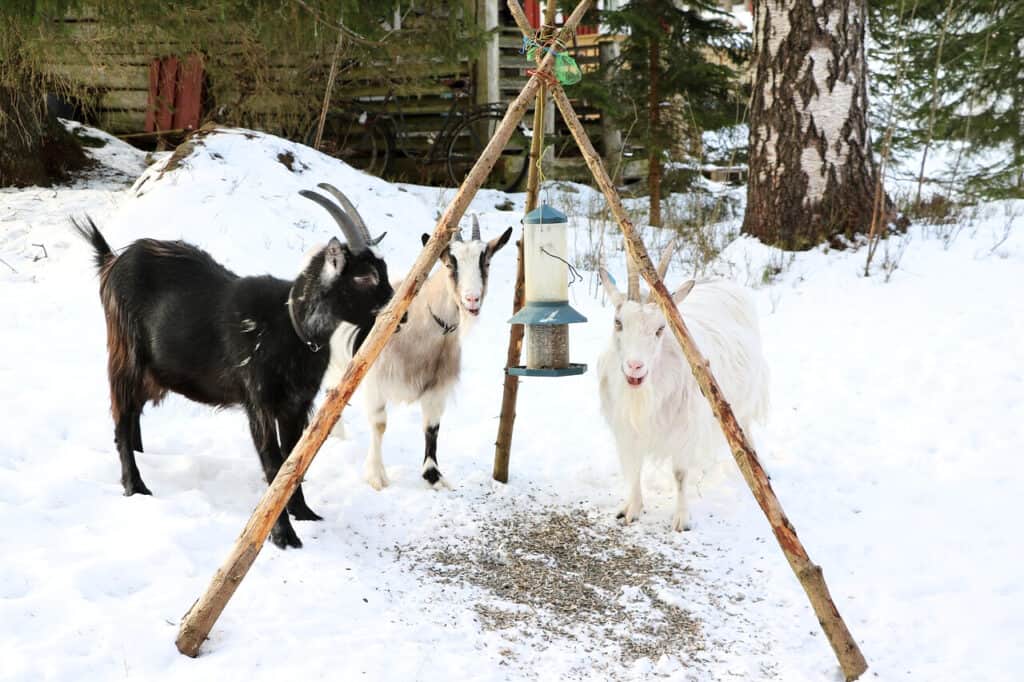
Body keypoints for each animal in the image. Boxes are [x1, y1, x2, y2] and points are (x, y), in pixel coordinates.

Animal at [74, 183, 395, 549]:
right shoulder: (258, 401)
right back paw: (135, 485)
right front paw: (284, 535)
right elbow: (273, 463)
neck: (290, 325)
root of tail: (112, 260)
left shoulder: (296, 405)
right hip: (125, 356)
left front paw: (303, 512)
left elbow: (293, 461)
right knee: (121, 416)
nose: (397, 311)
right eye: (365, 276)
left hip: (154, 373)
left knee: (132, 415)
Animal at [326, 215, 512, 490]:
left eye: (486, 262)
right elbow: (379, 424)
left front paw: (433, 475)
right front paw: (376, 476)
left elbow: (432, 427)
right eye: (450, 264)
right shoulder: (374, 380)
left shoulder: (437, 387)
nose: (472, 300)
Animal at [597, 243, 769, 532]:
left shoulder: (685, 430)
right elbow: (634, 467)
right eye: (618, 322)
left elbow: (679, 474)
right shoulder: (626, 431)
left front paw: (681, 519)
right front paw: (631, 509)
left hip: (742, 399)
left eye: (660, 329)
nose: (635, 366)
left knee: (744, 430)